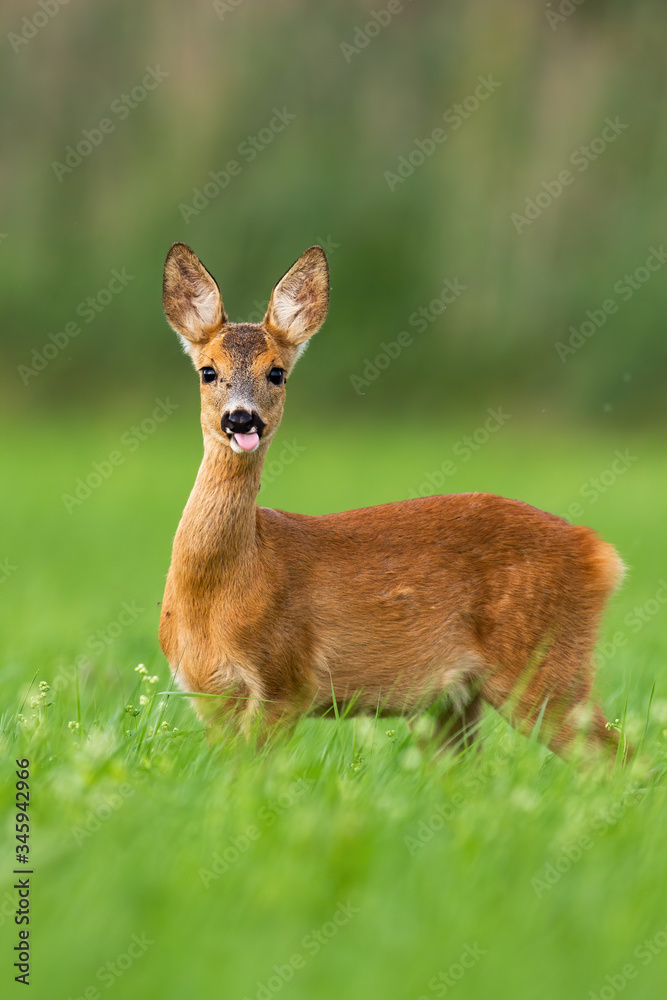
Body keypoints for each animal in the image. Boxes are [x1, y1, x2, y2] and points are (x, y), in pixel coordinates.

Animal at [158, 242, 626, 759]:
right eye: (208, 371)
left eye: (276, 373)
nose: (242, 419)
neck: (218, 592)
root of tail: (598, 553)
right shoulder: (206, 694)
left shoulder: (286, 681)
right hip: (458, 699)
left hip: (543, 665)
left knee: (618, 755)